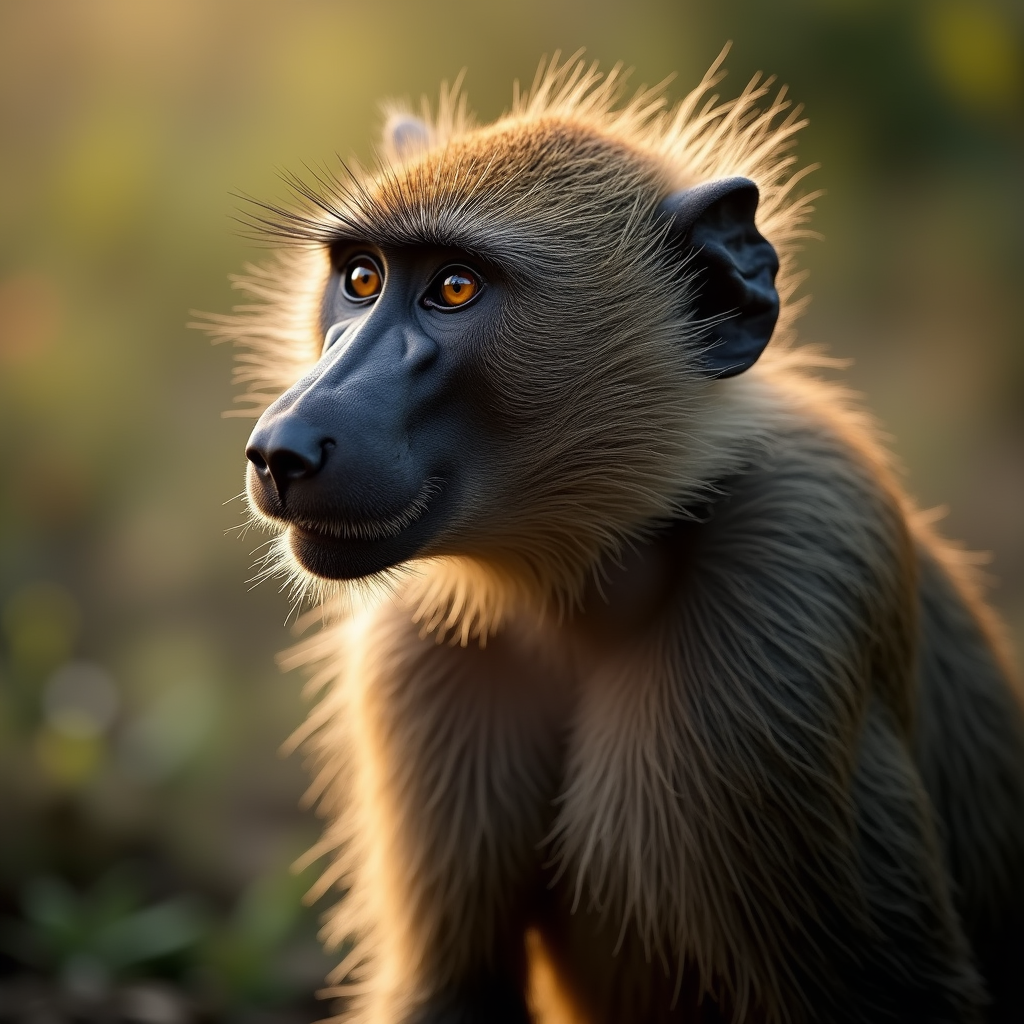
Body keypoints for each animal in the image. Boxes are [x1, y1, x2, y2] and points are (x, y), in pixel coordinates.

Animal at [206, 53, 1024, 1024]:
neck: (586, 587)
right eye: (361, 278)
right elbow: (451, 990)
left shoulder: (792, 608)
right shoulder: (424, 655)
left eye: (454, 287)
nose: (284, 447)